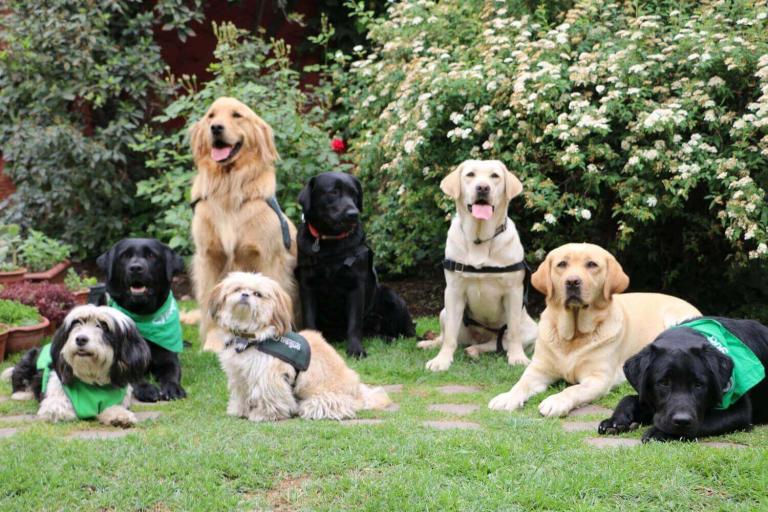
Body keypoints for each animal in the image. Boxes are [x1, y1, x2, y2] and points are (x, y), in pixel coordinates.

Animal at [1, 306, 150, 426]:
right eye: (76, 322)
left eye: (103, 325)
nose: (80, 339)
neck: (92, 380)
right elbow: (56, 408)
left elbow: (114, 408)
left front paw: (119, 416)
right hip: (28, 359)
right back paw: (22, 394)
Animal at [97, 238, 188, 402]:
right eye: (125, 256)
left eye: (151, 255)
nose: (135, 268)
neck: (142, 313)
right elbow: (133, 376)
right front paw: (146, 389)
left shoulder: (168, 358)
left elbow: (172, 373)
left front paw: (173, 388)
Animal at [296, 170, 414, 358]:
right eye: (333, 192)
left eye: (354, 194)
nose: (353, 213)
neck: (331, 242)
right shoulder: (307, 285)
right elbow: (309, 319)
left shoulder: (355, 285)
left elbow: (354, 323)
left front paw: (355, 349)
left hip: (392, 297)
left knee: (408, 333)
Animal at [600, 316, 768, 440]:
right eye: (664, 383)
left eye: (699, 384)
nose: (682, 421)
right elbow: (627, 398)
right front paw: (615, 421)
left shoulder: (740, 412)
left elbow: (704, 422)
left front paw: (660, 432)